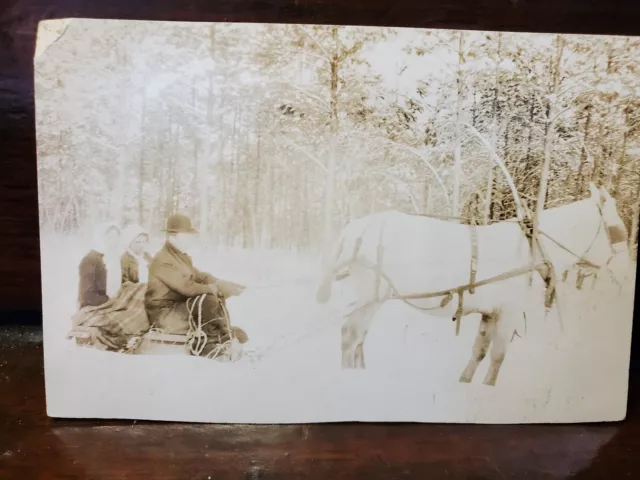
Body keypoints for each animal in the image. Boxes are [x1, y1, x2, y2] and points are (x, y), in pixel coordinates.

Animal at [318, 184, 628, 386]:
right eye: (617, 229)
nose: (626, 269)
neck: (534, 248)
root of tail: (355, 228)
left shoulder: (490, 312)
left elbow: (479, 351)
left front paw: (465, 382)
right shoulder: (508, 312)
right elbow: (498, 357)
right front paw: (488, 390)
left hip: (371, 298)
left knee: (359, 337)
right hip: (371, 292)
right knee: (350, 335)